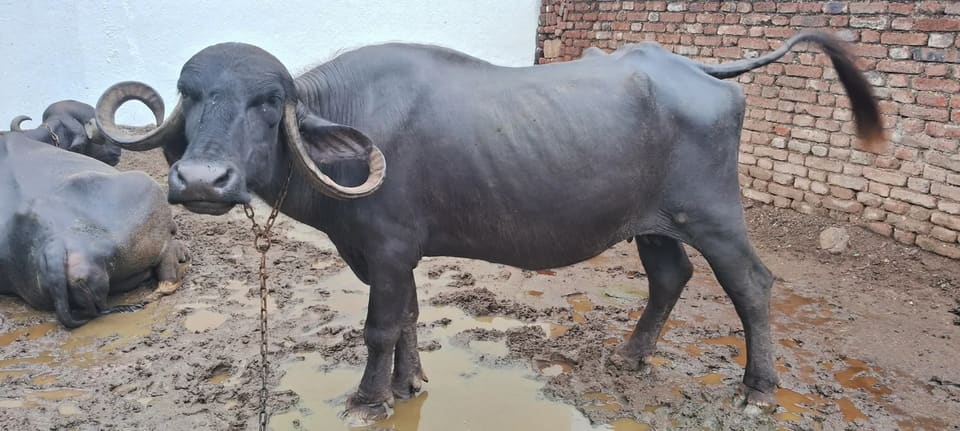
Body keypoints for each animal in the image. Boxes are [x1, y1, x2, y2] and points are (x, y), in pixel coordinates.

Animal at [94, 31, 883, 423]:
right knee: (670, 276)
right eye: (192, 94)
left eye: (266, 102)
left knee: (750, 284)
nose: (202, 182)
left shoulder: (386, 248)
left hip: (713, 214)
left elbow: (379, 327)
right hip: (653, 222)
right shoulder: (392, 254)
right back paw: (631, 357)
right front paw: (410, 384)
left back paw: (757, 387)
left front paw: (369, 399)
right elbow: (409, 320)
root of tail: (700, 72)